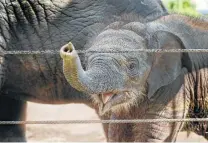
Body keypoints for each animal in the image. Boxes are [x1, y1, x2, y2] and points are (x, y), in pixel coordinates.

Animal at [59, 14, 208, 142]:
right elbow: (117, 134)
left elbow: (152, 136)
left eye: (132, 66)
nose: (68, 48)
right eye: (86, 60)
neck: (150, 30)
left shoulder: (175, 88)